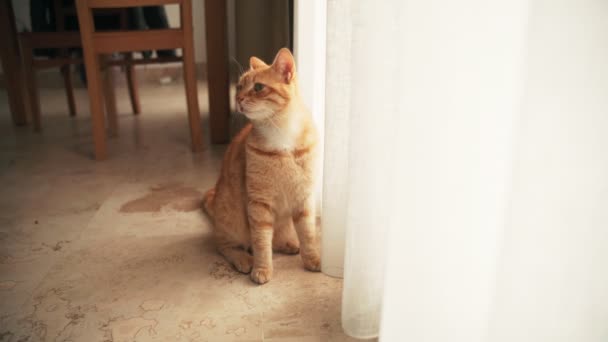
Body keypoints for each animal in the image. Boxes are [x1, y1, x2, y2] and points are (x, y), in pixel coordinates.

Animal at [202, 47, 320, 284]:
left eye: (258, 87)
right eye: (239, 86)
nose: (238, 98)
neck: (282, 134)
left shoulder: (304, 198)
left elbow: (308, 234)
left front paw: (311, 258)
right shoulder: (259, 203)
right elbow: (261, 242)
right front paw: (262, 268)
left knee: (277, 238)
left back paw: (288, 244)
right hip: (231, 220)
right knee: (224, 245)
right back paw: (244, 259)